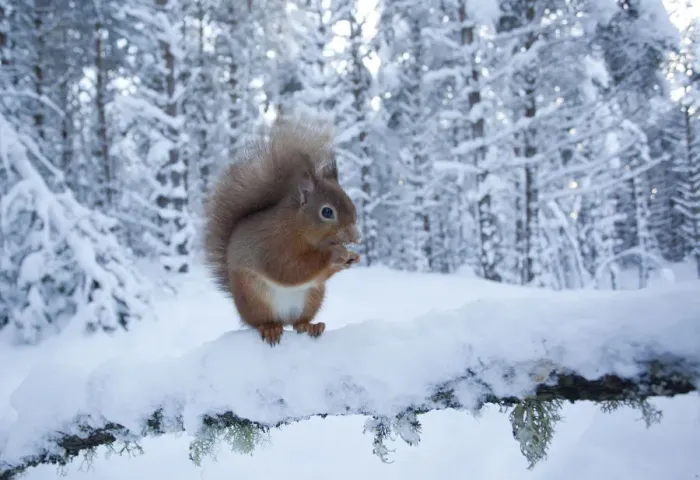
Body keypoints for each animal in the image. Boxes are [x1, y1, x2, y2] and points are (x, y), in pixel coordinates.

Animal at [203, 118, 361, 345]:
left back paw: (310, 326)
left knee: (298, 322)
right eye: (327, 212)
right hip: (254, 297)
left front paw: (352, 257)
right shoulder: (272, 245)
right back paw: (270, 328)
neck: (297, 227)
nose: (356, 237)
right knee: (263, 321)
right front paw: (337, 254)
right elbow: (289, 269)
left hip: (312, 297)